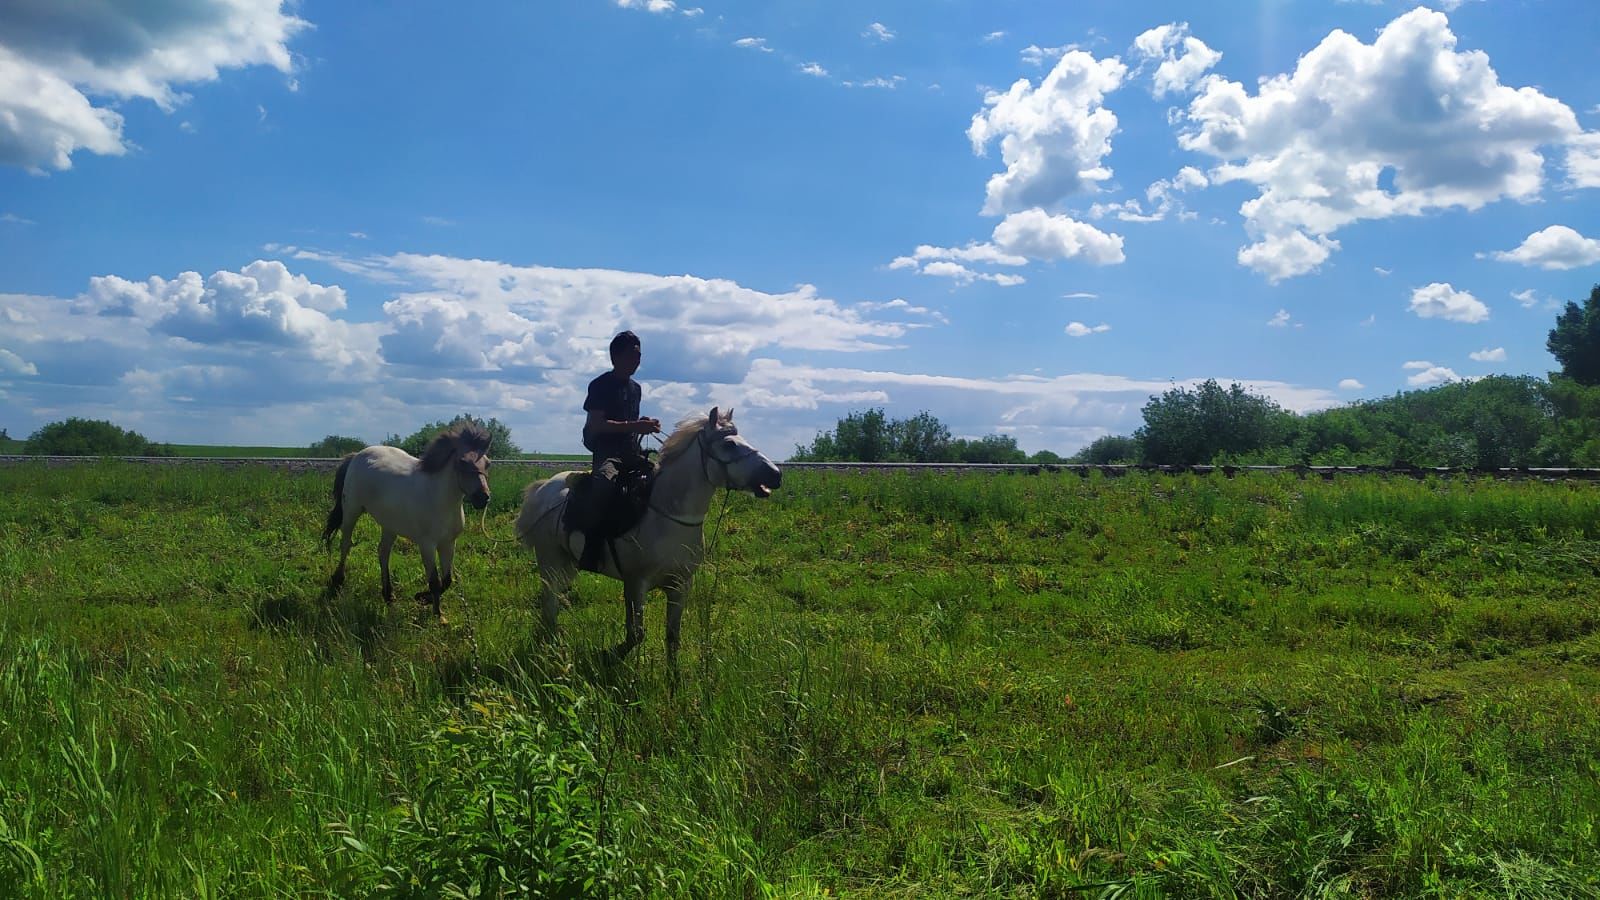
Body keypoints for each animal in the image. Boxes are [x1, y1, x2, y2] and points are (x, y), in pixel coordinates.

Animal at [313, 419, 483, 614]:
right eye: (463, 462)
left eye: (487, 463)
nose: (484, 497)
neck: (438, 498)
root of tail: (357, 456)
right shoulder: (427, 545)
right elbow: (434, 581)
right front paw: (437, 614)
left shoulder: (448, 543)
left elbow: (447, 580)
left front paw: (423, 598)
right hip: (351, 511)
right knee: (345, 544)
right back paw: (338, 580)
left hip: (389, 526)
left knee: (383, 552)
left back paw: (388, 594)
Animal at [515, 405, 777, 666]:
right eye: (730, 444)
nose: (775, 475)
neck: (666, 515)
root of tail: (545, 487)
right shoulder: (635, 584)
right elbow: (636, 634)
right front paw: (608, 656)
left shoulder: (680, 585)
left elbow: (672, 637)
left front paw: (673, 675)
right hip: (549, 560)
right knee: (549, 603)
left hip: (568, 562)